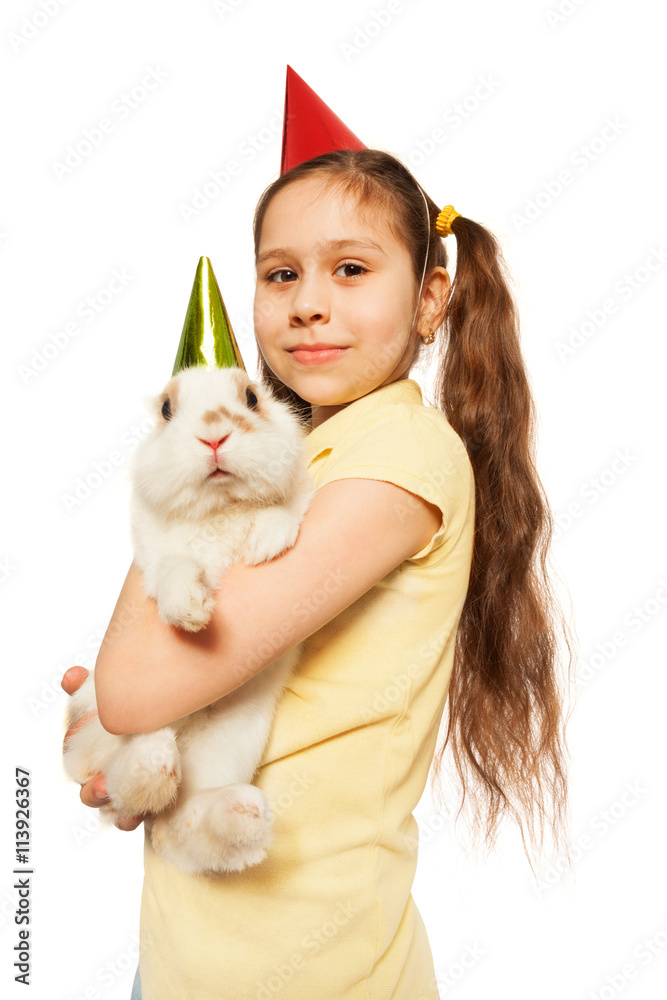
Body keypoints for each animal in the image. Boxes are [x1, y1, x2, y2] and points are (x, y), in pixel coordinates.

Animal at [64, 370, 314, 876]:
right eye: (166, 409)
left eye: (252, 399)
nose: (214, 437)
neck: (221, 506)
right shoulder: (158, 557)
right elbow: (176, 569)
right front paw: (194, 612)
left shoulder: (300, 494)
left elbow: (285, 510)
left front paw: (266, 545)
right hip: (104, 727)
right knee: (116, 781)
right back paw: (155, 761)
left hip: (230, 744)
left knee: (179, 826)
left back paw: (241, 815)